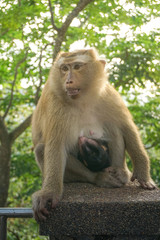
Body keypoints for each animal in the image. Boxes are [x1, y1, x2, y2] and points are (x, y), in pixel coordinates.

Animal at [31, 48, 156, 221]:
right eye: (64, 68)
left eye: (77, 66)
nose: (68, 81)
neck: (82, 99)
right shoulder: (56, 104)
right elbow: (56, 146)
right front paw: (49, 193)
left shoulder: (108, 95)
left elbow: (126, 127)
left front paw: (142, 174)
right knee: (41, 149)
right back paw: (99, 178)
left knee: (114, 128)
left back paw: (121, 173)